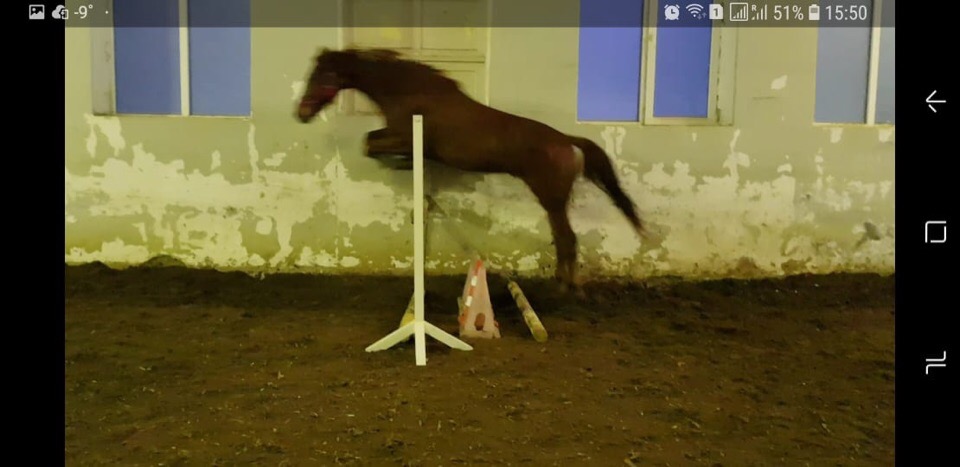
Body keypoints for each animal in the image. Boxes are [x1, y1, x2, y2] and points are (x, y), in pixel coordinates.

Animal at [296, 47, 646, 295]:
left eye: (322, 76)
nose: (302, 113)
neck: (408, 91)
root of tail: (566, 140)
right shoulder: (397, 134)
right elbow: (370, 142)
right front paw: (404, 164)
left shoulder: (407, 135)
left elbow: (370, 144)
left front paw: (402, 161)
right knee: (564, 239)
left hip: (551, 199)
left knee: (567, 239)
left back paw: (566, 286)